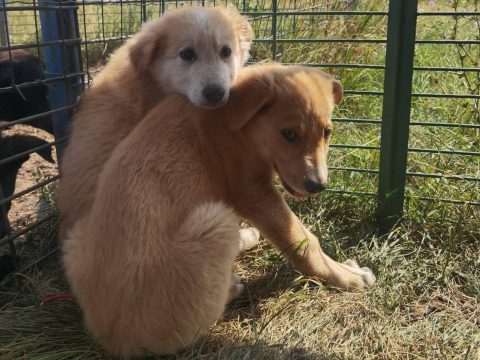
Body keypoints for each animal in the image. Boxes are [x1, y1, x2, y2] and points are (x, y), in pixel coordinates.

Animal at [62, 64, 376, 358]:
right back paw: (232, 287)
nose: (318, 186)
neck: (236, 123)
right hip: (216, 218)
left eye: (327, 133)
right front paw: (348, 277)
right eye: (288, 134)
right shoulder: (252, 191)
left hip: (76, 238)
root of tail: (111, 339)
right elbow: (304, 242)